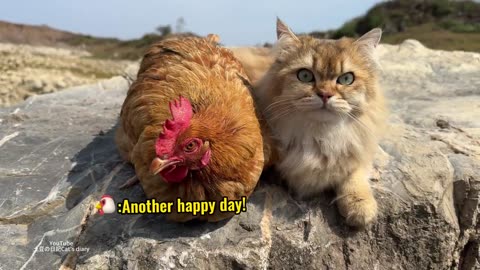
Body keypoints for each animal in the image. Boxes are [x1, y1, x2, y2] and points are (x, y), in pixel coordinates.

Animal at [234, 19, 388, 226]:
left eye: (346, 79)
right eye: (305, 76)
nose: (325, 95)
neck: (320, 136)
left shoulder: (359, 145)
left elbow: (353, 173)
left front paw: (360, 206)